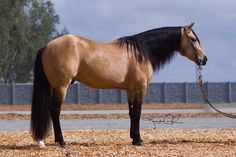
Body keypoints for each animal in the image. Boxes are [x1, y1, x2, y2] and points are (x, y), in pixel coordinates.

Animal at [30, 22, 206, 148]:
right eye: (193, 39)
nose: (204, 59)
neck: (142, 52)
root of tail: (46, 46)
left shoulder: (130, 90)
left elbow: (131, 113)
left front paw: (133, 138)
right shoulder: (140, 88)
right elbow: (138, 112)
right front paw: (139, 140)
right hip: (61, 87)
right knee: (55, 111)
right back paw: (62, 141)